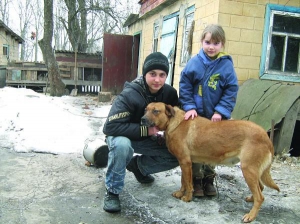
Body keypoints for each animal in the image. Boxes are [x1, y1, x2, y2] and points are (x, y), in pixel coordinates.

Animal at [142, 102, 280, 223]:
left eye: (156, 111)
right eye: (145, 110)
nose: (142, 119)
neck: (173, 122)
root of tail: (266, 136)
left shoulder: (185, 162)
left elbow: (188, 183)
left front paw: (187, 197)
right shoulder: (184, 162)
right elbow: (183, 181)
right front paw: (180, 193)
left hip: (248, 170)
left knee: (260, 197)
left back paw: (251, 215)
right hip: (253, 171)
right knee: (260, 188)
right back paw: (251, 199)